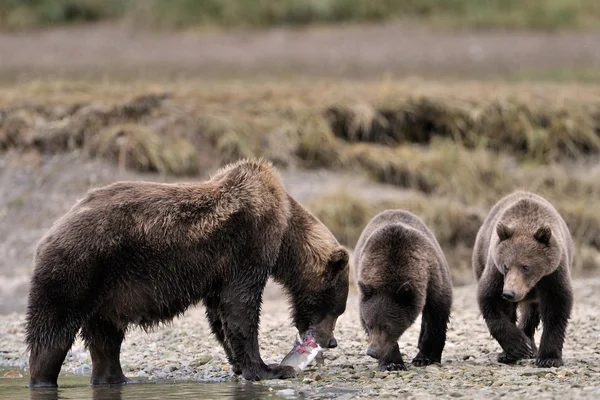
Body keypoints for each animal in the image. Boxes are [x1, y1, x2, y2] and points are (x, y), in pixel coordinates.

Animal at [25, 159, 350, 388]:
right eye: (338, 308)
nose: (331, 342)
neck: (284, 234)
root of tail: (52, 230)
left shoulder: (220, 270)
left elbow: (221, 314)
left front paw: (239, 363)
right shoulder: (249, 244)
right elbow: (241, 305)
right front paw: (269, 368)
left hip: (105, 294)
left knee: (105, 339)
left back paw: (116, 378)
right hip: (77, 270)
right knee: (53, 331)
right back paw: (42, 378)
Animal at [354, 211, 452, 370]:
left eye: (387, 326)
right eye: (369, 325)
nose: (372, 352)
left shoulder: (434, 276)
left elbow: (436, 315)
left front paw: (425, 358)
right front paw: (392, 363)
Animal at [474, 191, 572, 368]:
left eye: (526, 266)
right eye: (506, 266)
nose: (509, 293)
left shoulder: (553, 274)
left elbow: (556, 308)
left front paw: (548, 357)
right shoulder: (496, 273)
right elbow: (491, 301)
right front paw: (518, 347)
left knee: (531, 312)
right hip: (480, 258)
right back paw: (511, 352)